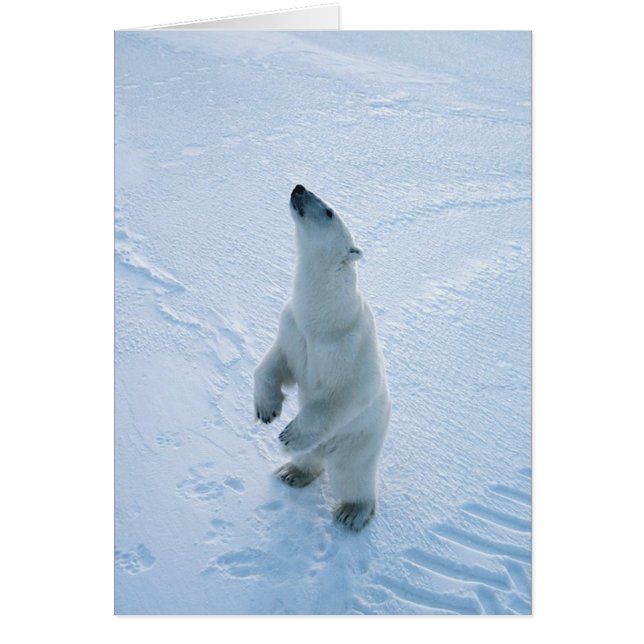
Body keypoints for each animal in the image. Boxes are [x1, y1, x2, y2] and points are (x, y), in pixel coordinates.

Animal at [254, 184, 390, 531]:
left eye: (328, 212)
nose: (299, 188)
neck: (322, 319)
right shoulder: (293, 328)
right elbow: (274, 363)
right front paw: (267, 410)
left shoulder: (348, 345)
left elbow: (347, 393)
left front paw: (288, 434)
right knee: (310, 458)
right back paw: (292, 472)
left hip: (361, 437)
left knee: (351, 472)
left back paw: (352, 511)